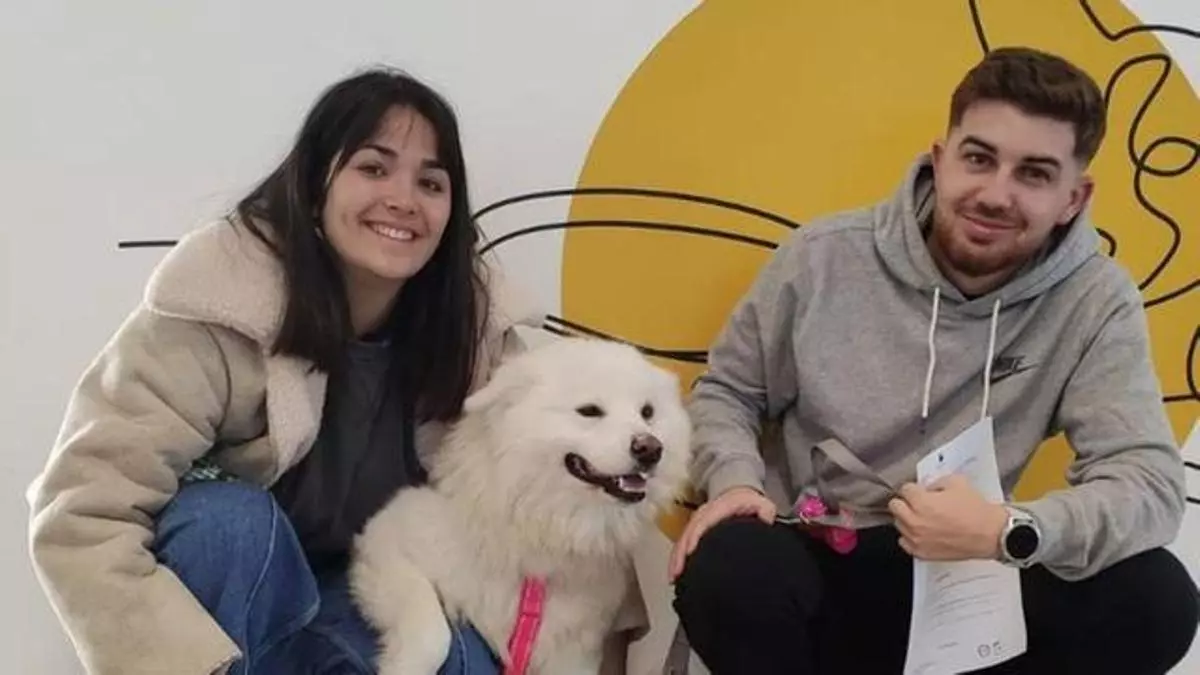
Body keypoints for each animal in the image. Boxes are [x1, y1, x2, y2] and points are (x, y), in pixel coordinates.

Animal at [349, 337, 692, 674]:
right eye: (590, 411)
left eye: (647, 412)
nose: (650, 448)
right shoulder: (385, 542)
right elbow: (434, 635)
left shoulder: (572, 649)